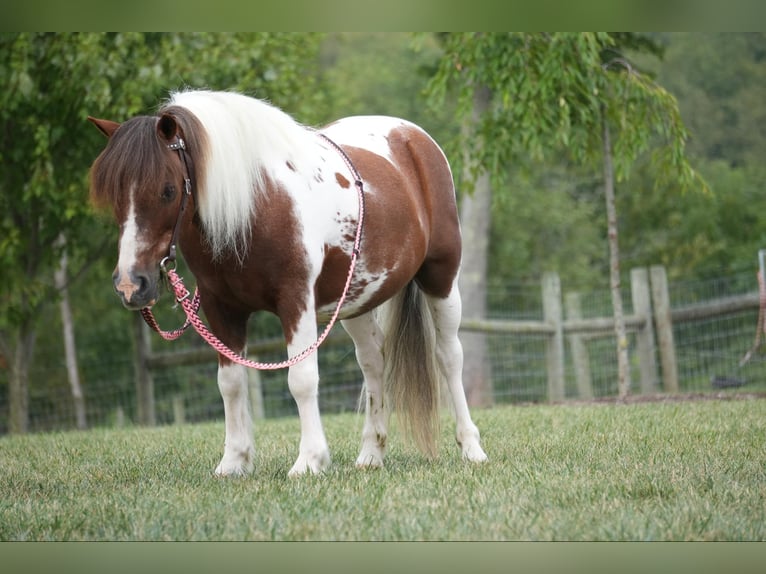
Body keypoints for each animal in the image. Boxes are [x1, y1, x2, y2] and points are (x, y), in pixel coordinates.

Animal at [88, 89, 486, 476]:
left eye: (168, 190)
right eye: (114, 196)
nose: (131, 285)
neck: (256, 204)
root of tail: (412, 136)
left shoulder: (296, 302)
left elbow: (302, 379)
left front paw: (310, 460)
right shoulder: (222, 309)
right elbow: (230, 384)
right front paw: (234, 461)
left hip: (441, 277)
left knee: (449, 356)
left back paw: (471, 447)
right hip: (356, 298)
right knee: (373, 361)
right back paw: (371, 454)